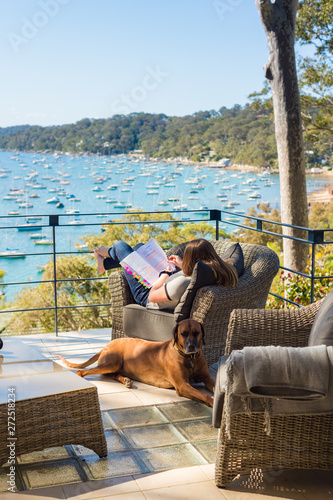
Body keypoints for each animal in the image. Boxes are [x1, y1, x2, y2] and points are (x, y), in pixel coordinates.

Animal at [57, 320, 214, 406]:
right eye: (184, 333)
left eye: (196, 332)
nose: (191, 347)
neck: (190, 358)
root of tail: (107, 345)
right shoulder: (182, 385)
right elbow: (205, 395)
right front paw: (213, 403)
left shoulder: (207, 378)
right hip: (112, 363)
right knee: (82, 371)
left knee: (114, 374)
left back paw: (126, 380)